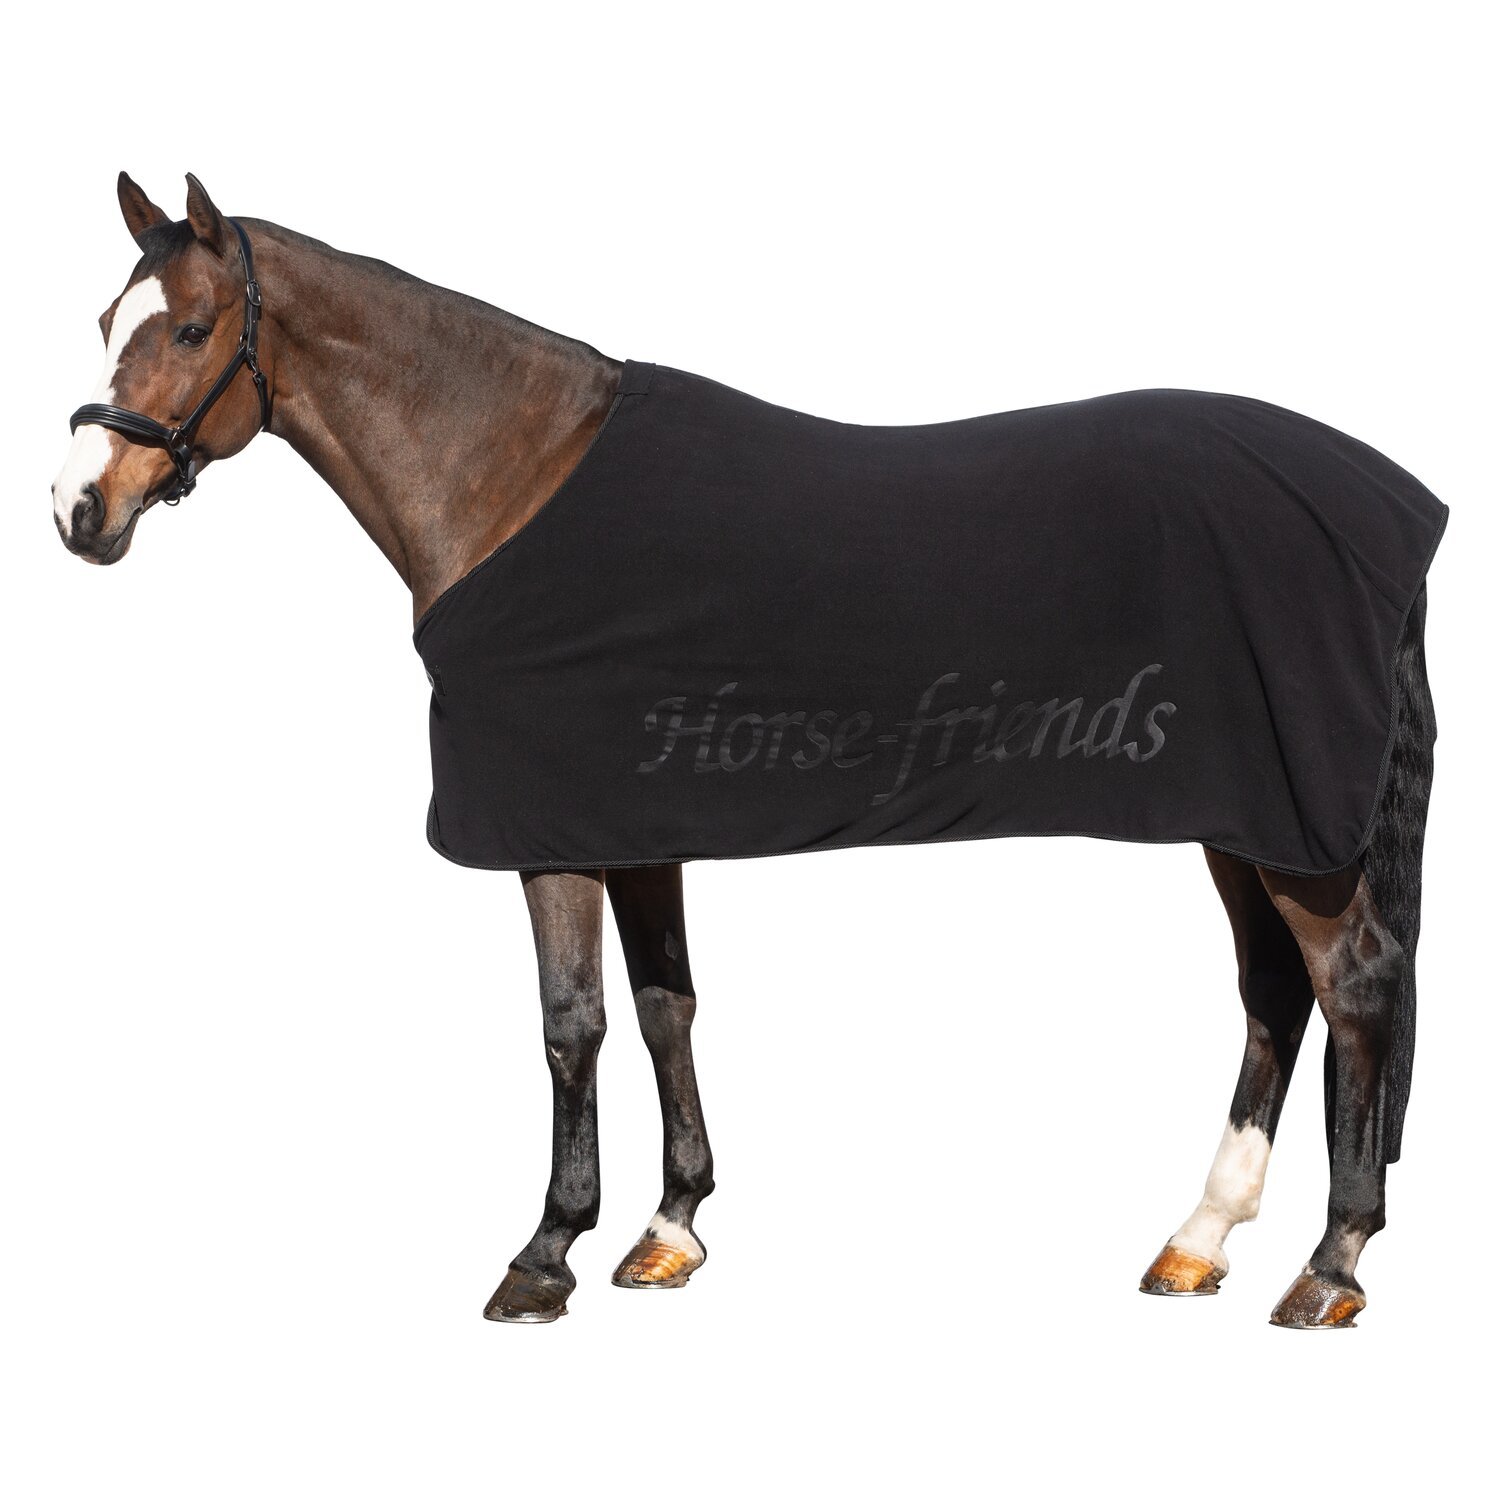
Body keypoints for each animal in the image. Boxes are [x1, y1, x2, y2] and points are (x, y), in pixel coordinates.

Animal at [53, 173, 1441, 1328]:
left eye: (189, 331)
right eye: (106, 318)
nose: (78, 511)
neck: (516, 477)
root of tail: (1386, 502)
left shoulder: (550, 828)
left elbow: (571, 1024)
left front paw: (545, 1254)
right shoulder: (632, 824)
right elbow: (665, 1005)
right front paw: (669, 1228)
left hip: (1295, 832)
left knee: (1354, 989)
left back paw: (1329, 1268)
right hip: (1239, 815)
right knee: (1274, 997)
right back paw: (1200, 1239)